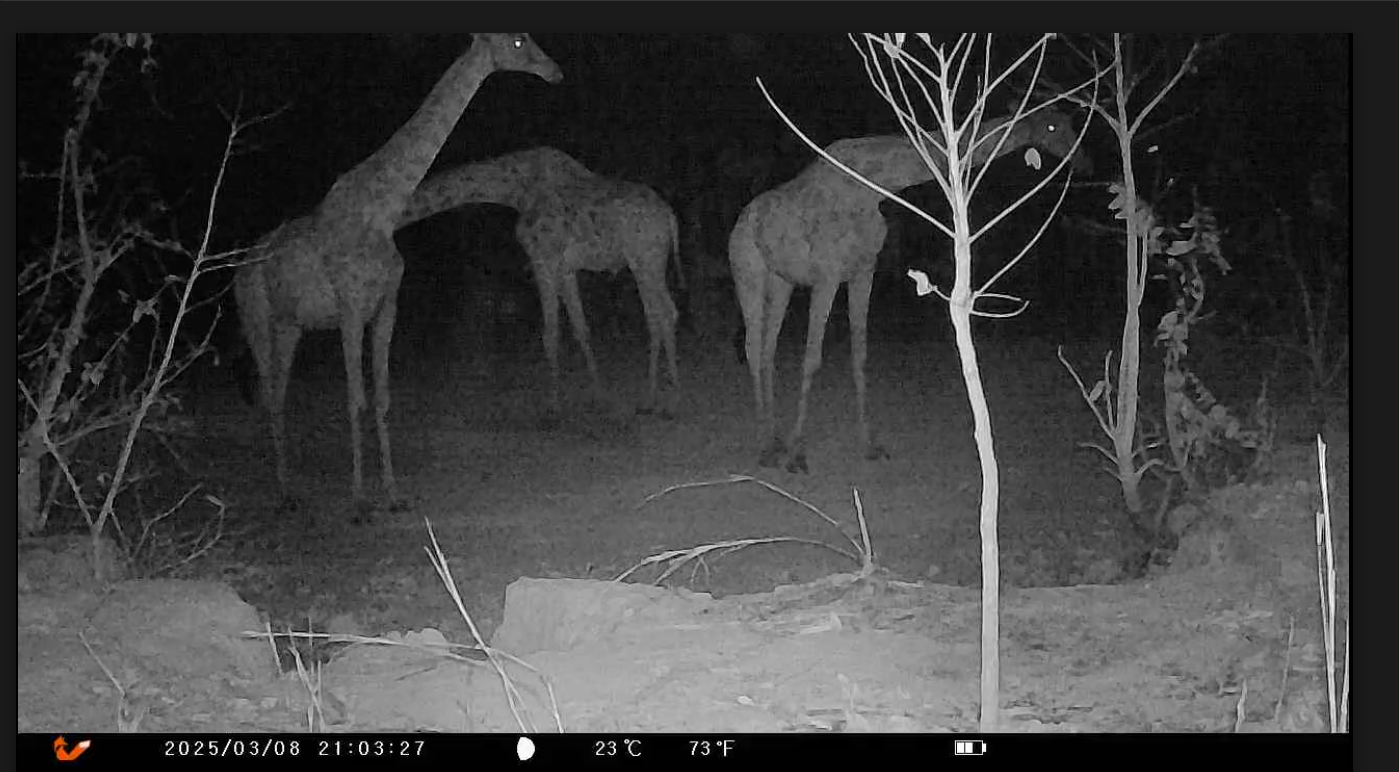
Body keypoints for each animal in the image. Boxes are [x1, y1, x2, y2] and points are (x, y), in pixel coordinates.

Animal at [234, 34, 561, 517]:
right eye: (518, 41)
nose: (554, 71)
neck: (383, 212)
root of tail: (242, 264)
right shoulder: (350, 310)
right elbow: (355, 400)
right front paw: (358, 501)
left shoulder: (386, 307)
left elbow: (383, 399)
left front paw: (392, 494)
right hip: (256, 319)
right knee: (268, 393)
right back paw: (283, 492)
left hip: (290, 326)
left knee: (277, 393)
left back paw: (289, 488)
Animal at [400, 147, 682, 419]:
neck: (513, 189)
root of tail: (670, 217)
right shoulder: (565, 267)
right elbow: (581, 328)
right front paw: (600, 398)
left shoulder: (541, 258)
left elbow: (550, 333)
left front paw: (553, 407)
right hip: (646, 262)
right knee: (656, 315)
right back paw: (649, 401)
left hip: (645, 258)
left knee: (666, 312)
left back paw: (671, 403)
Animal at [729, 108, 1085, 473]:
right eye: (1053, 127)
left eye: (1071, 123)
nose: (1084, 160)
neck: (876, 186)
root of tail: (740, 223)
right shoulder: (827, 276)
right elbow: (812, 359)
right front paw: (797, 454)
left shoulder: (863, 271)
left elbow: (860, 357)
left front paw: (870, 445)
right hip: (748, 272)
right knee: (753, 346)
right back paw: (767, 447)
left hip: (781, 281)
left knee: (767, 349)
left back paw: (773, 439)